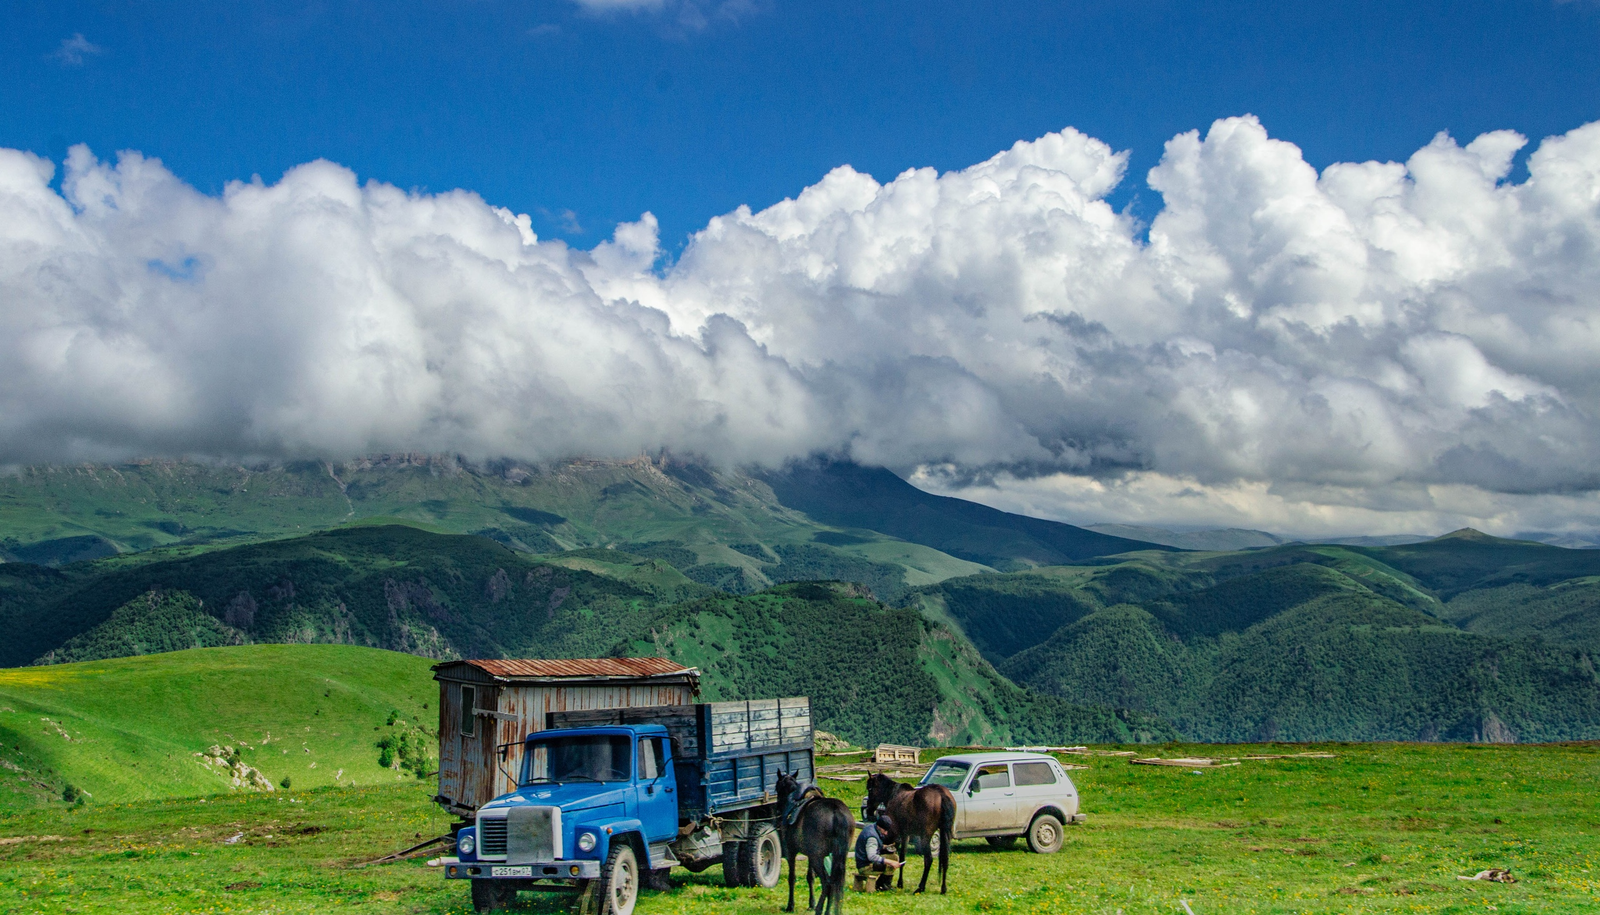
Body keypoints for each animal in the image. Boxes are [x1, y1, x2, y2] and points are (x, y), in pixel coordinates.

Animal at [771, 771, 857, 915]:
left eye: (777, 787)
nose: (777, 809)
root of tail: (837, 812)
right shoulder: (810, 855)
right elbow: (810, 877)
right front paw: (811, 903)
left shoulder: (791, 852)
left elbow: (792, 878)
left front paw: (790, 906)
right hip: (836, 856)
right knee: (833, 882)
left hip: (818, 858)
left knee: (827, 882)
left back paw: (820, 909)